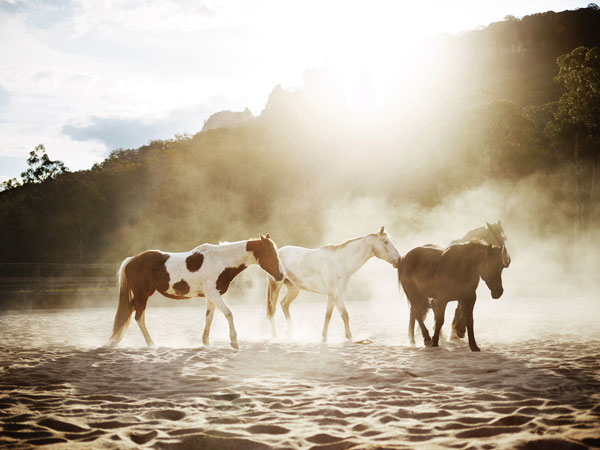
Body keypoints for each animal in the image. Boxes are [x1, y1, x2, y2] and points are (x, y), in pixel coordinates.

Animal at [106, 234, 284, 350]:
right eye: (270, 253)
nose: (281, 275)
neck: (221, 261)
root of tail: (132, 260)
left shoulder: (211, 297)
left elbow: (209, 318)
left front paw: (206, 342)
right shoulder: (214, 294)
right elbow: (229, 313)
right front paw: (234, 342)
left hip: (141, 295)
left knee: (127, 314)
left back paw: (115, 341)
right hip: (142, 295)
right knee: (138, 317)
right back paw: (151, 344)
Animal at [266, 227, 398, 342]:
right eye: (385, 242)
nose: (398, 259)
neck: (340, 261)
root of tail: (277, 251)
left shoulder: (331, 295)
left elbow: (328, 316)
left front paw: (324, 338)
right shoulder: (336, 293)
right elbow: (345, 314)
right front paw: (350, 338)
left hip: (294, 289)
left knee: (284, 304)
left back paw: (290, 333)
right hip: (276, 286)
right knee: (273, 309)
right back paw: (275, 335)